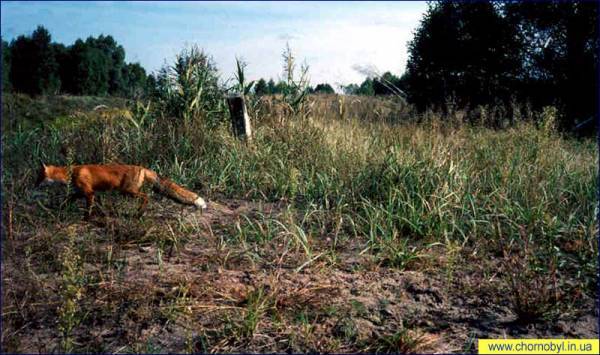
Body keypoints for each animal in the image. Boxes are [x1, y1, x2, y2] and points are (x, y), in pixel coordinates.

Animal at [36, 165, 209, 220]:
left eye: (39, 177)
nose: (33, 185)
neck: (72, 172)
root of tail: (142, 167)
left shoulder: (89, 193)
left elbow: (88, 208)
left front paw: (86, 219)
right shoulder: (81, 192)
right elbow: (68, 199)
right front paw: (60, 208)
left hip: (128, 192)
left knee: (146, 197)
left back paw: (139, 214)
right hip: (128, 192)